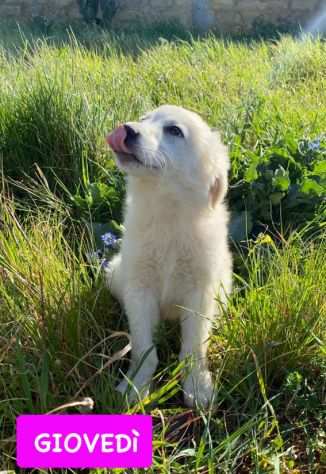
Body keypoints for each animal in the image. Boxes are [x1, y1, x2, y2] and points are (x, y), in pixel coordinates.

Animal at [105, 104, 232, 408]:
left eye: (174, 130)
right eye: (143, 119)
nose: (126, 129)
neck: (167, 213)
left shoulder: (200, 293)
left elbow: (194, 347)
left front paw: (197, 386)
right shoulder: (139, 289)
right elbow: (143, 348)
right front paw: (135, 386)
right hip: (115, 272)